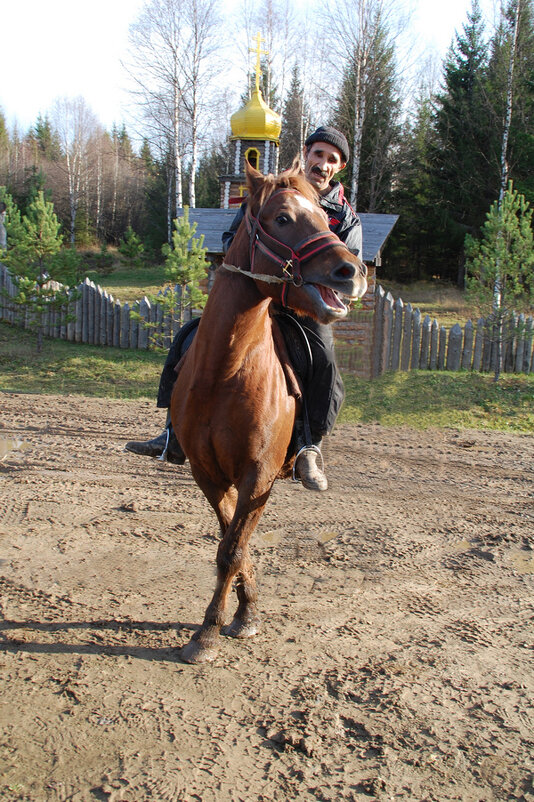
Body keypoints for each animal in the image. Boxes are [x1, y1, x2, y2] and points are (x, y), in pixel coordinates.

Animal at [172, 162, 368, 664]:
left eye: (325, 216)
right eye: (282, 219)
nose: (353, 271)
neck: (226, 371)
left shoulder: (257, 477)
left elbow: (232, 549)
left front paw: (211, 630)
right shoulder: (208, 474)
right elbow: (231, 543)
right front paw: (241, 612)